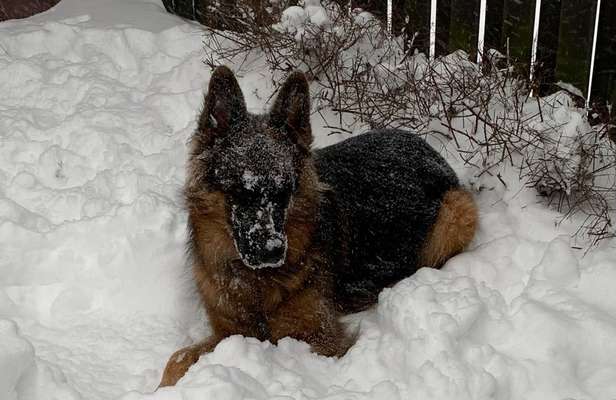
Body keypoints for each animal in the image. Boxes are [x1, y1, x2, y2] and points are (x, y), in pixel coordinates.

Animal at [159, 66, 476, 388]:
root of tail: (425, 144)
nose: (273, 252)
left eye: (284, 192)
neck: (255, 281)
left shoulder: (317, 337)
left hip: (456, 212)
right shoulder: (229, 330)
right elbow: (177, 358)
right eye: (241, 191)